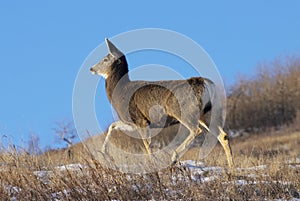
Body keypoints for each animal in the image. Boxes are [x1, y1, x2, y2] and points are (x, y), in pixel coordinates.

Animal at [89, 38, 234, 167]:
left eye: (105, 58)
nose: (91, 68)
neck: (120, 92)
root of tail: (206, 83)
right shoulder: (133, 122)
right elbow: (112, 126)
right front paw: (104, 152)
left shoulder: (141, 120)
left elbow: (147, 144)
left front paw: (152, 164)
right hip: (207, 113)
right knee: (222, 136)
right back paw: (231, 168)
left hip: (184, 110)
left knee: (196, 130)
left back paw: (174, 156)